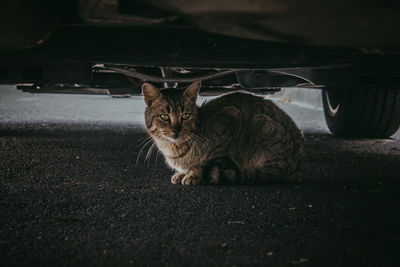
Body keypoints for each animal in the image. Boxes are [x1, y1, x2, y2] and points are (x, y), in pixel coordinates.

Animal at [142, 81, 302, 186]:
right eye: (164, 117)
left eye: (185, 116)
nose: (176, 129)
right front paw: (183, 173)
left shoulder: (230, 118)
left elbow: (204, 163)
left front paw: (194, 174)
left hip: (261, 123)